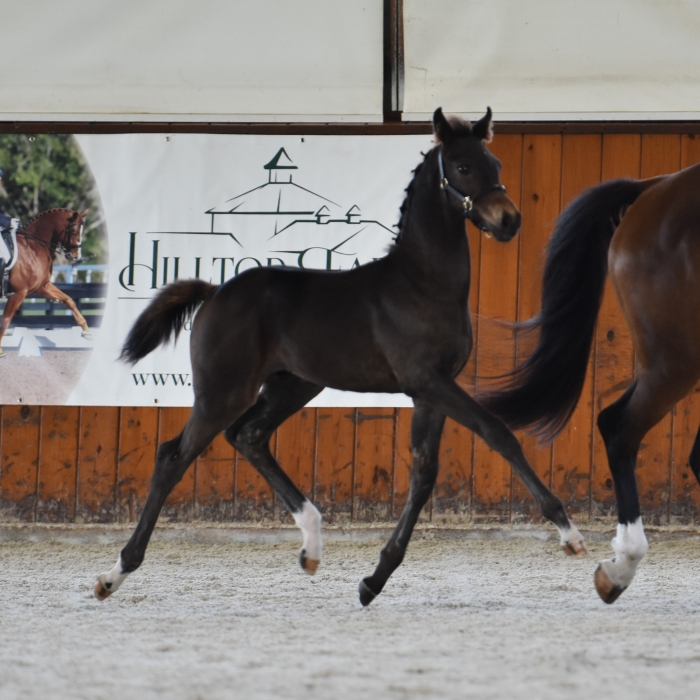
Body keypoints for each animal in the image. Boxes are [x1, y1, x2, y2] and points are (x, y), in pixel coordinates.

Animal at [0, 208, 91, 357]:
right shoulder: (18, 293)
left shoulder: (42, 286)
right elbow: (6, 320)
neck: (33, 248)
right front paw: (0, 351)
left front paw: (86, 331)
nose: (76, 256)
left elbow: (68, 300)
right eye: (73, 231)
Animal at [94, 108, 587, 606]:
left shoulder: (430, 391)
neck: (421, 283)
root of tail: (215, 292)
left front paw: (374, 580)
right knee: (173, 456)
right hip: (223, 392)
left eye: (496, 164)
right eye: (463, 166)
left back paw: (311, 544)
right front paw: (569, 533)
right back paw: (114, 573)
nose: (509, 220)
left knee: (248, 436)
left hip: (294, 384)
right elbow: (497, 432)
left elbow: (424, 476)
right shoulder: (427, 381)